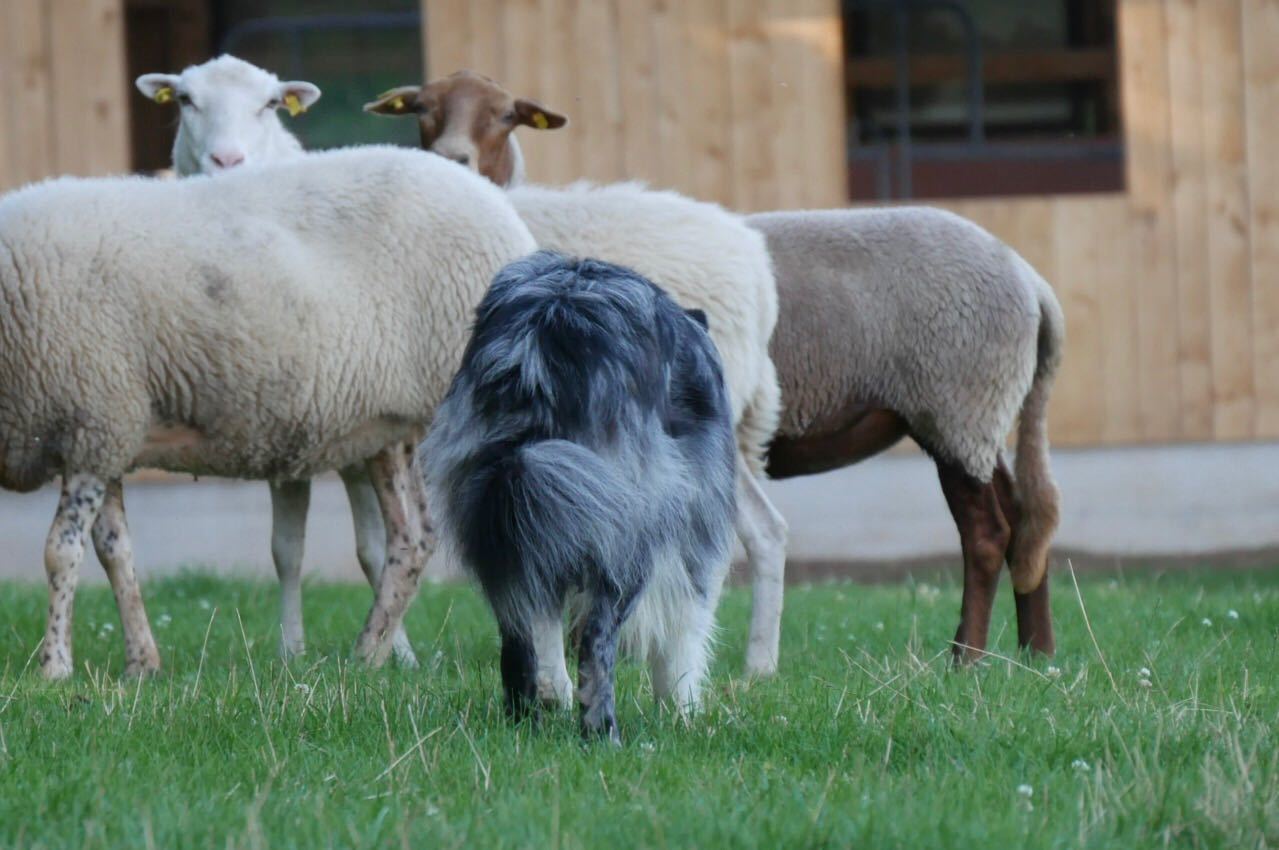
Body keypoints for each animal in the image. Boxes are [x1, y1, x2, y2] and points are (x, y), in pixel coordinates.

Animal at [0, 145, 538, 678]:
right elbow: (115, 553)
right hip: (394, 427)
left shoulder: (92, 423)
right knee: (413, 538)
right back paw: (371, 654)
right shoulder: (107, 432)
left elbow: (60, 552)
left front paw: (54, 667)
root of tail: (504, 213)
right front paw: (141, 665)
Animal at [137, 56, 416, 664]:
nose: (227, 161)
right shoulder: (290, 432)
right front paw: (292, 651)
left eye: (269, 105)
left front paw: (398, 654)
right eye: (185, 100)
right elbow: (287, 549)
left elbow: (377, 547)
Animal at [368, 71, 1064, 665]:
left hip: (957, 408)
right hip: (979, 416)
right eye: (422, 109)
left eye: (505, 115)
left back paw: (965, 658)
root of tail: (1029, 279)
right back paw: (1035, 654)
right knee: (1027, 521)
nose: (452, 159)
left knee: (986, 533)